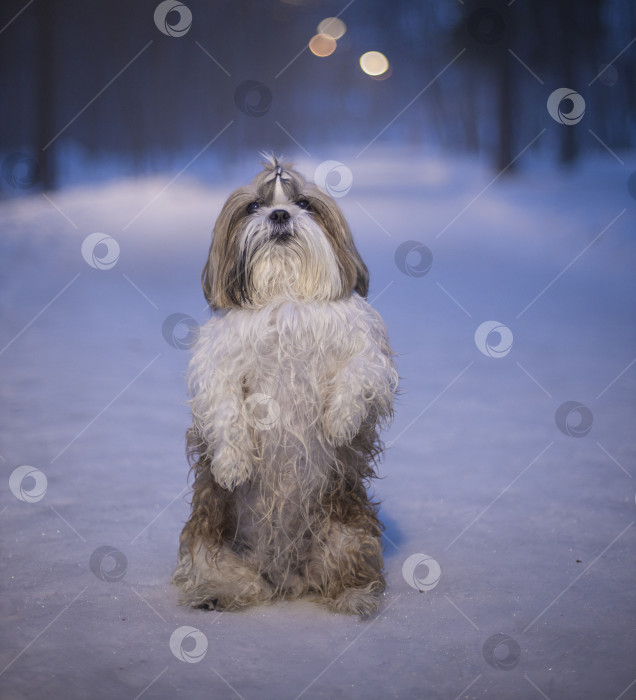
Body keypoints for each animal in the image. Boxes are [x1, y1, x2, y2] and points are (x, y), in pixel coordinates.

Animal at [171, 156, 396, 616]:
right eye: (254, 205)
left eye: (304, 203)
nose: (279, 215)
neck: (286, 295)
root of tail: (286, 574)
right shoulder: (219, 364)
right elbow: (225, 408)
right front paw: (232, 463)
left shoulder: (368, 352)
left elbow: (359, 373)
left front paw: (339, 421)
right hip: (211, 543)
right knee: (232, 578)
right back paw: (216, 594)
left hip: (349, 535)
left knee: (347, 571)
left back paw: (355, 595)